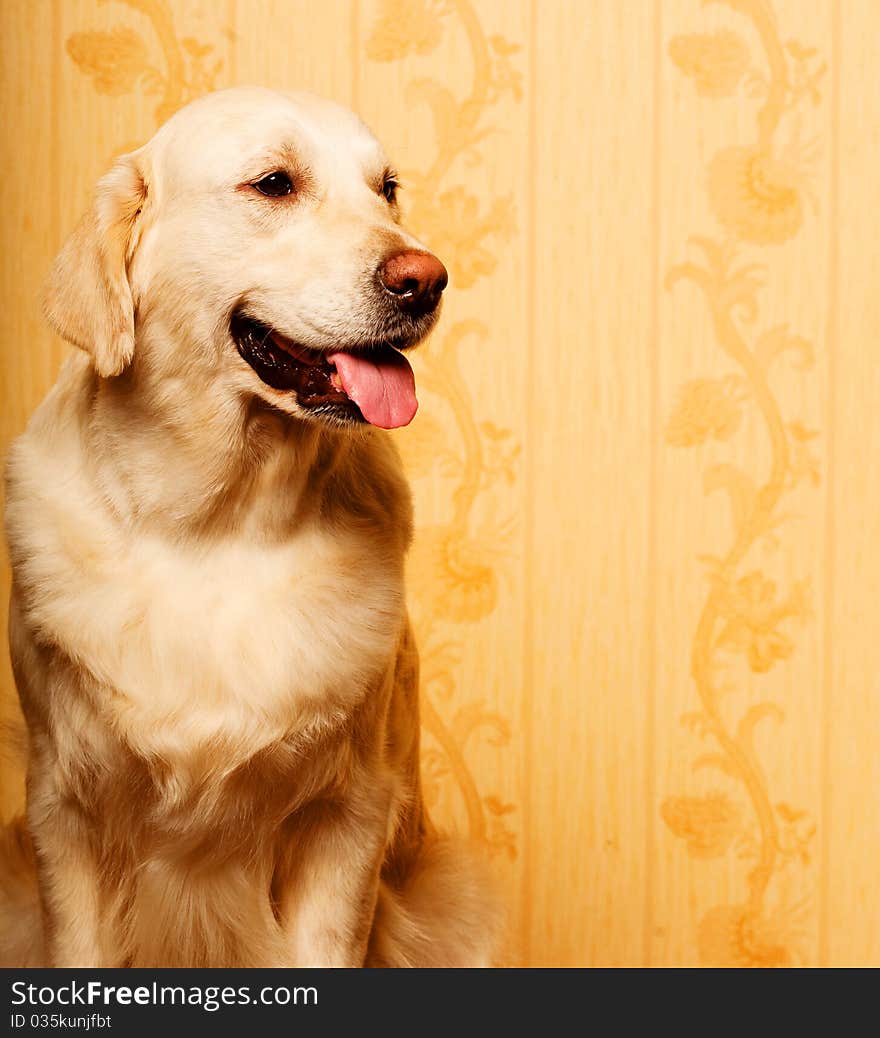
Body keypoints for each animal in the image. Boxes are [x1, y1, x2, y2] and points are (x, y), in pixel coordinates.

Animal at [0, 85, 498, 967]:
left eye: (387, 189)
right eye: (274, 184)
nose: (427, 279)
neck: (217, 524)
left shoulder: (349, 814)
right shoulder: (63, 811)